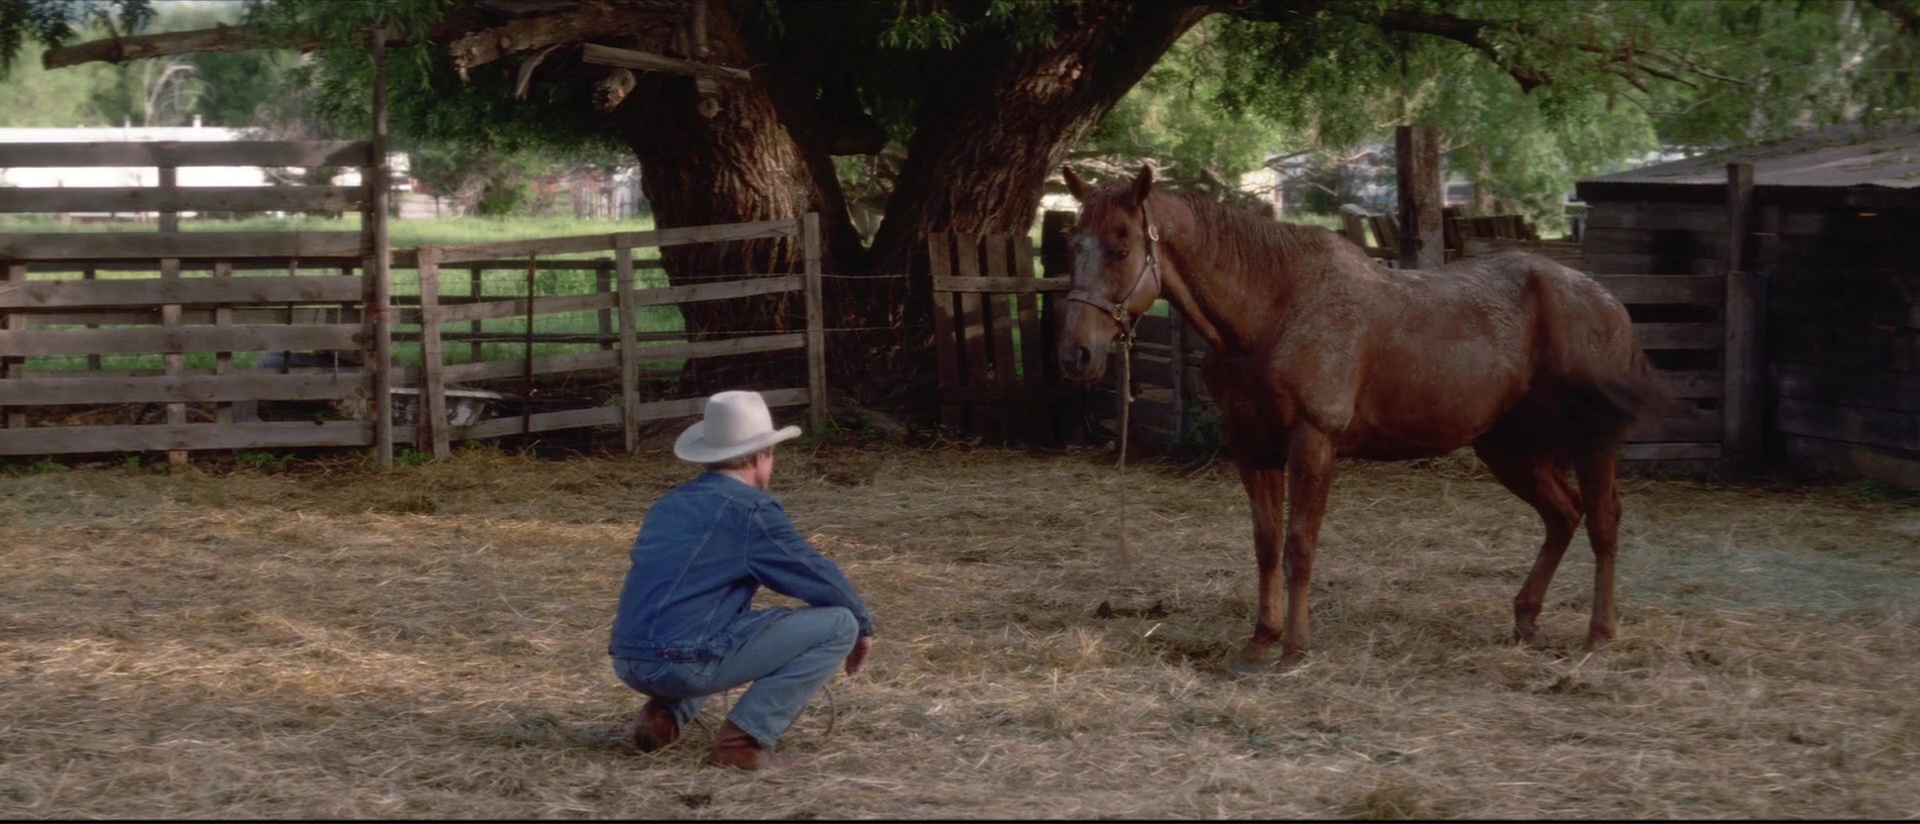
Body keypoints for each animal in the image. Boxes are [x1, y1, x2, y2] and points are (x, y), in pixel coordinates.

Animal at [1056, 164, 1662, 675]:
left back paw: (1599, 633)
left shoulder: (1313, 442)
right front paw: (1259, 642)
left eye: (1121, 248)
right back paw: (1527, 618)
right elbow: (1266, 544)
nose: (1076, 355)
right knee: (1563, 515)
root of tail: (1610, 303)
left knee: (1602, 519)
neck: (1274, 309)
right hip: (1509, 449)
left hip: (1590, 442)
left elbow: (1299, 545)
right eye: (1072, 246)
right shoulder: (1251, 446)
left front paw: (1295, 649)